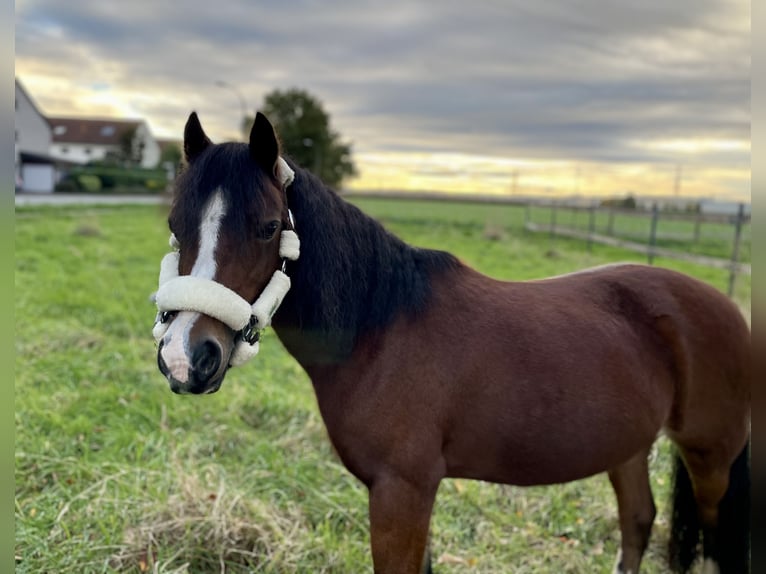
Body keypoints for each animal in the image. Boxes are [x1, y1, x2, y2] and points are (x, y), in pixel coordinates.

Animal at [153, 112, 752, 574]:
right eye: (176, 224)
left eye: (268, 226)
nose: (186, 356)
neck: (380, 331)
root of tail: (727, 308)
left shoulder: (402, 493)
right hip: (627, 446)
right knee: (637, 522)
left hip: (710, 462)